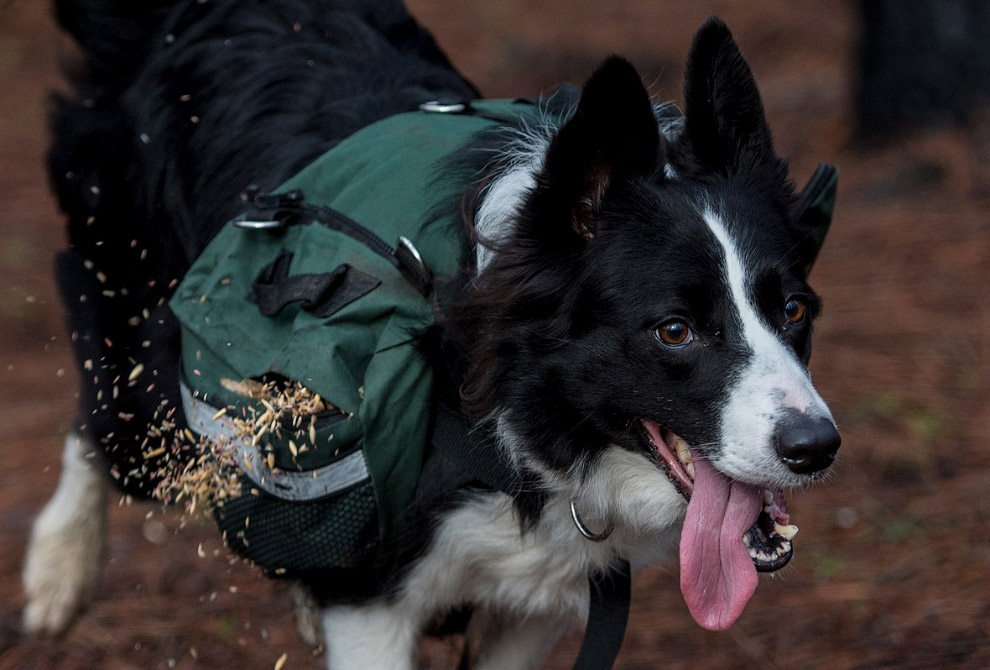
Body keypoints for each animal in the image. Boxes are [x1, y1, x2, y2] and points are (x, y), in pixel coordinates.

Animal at [27, 2, 840, 668]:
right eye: (675, 330)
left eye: (795, 311)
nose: (816, 449)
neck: (507, 415)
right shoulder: (371, 607)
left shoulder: (534, 604)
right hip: (154, 370)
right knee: (101, 418)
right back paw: (56, 571)